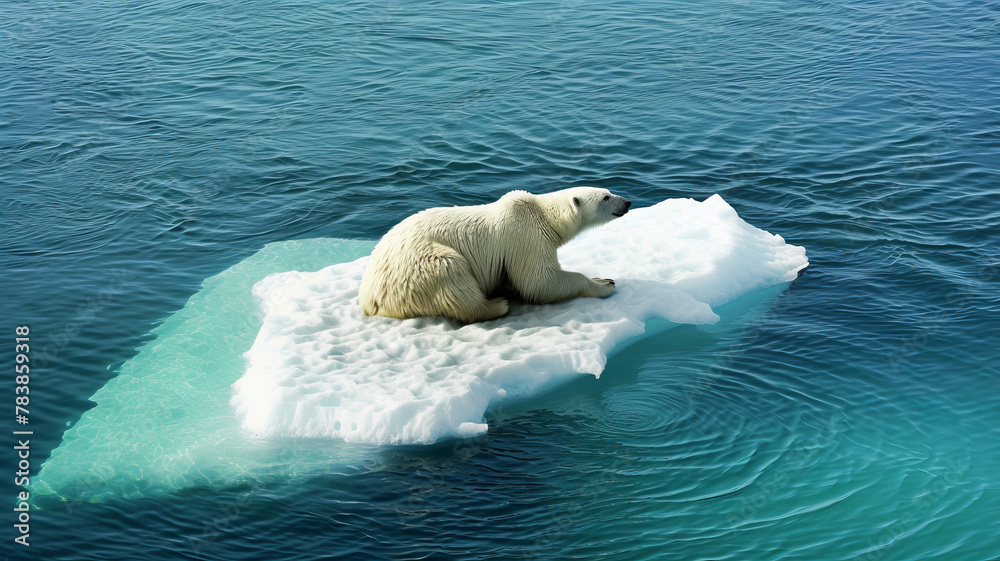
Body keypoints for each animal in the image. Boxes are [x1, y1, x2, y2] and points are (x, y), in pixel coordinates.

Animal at [358, 186, 632, 323]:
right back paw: (497, 304)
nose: (627, 202)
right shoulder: (526, 237)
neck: (541, 213)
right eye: (606, 197)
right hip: (422, 265)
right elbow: (540, 282)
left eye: (608, 189)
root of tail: (370, 300)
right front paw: (604, 283)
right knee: (452, 276)